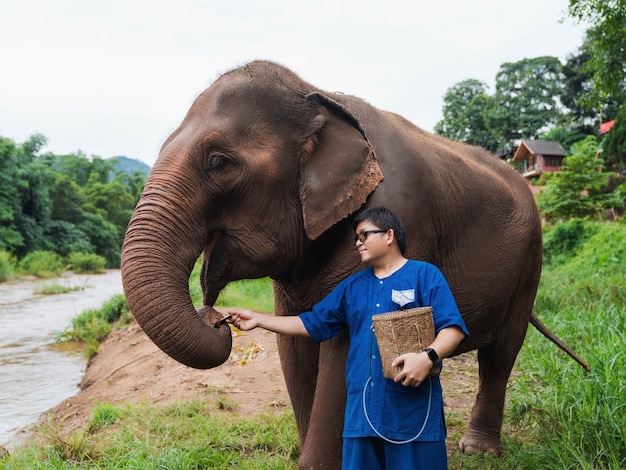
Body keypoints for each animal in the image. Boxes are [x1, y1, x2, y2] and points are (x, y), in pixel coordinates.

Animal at [120, 60, 584, 468]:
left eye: (219, 162)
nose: (218, 318)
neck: (316, 96)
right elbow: (297, 342)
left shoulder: (402, 210)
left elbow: (343, 349)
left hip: (530, 263)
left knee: (501, 354)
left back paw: (478, 450)